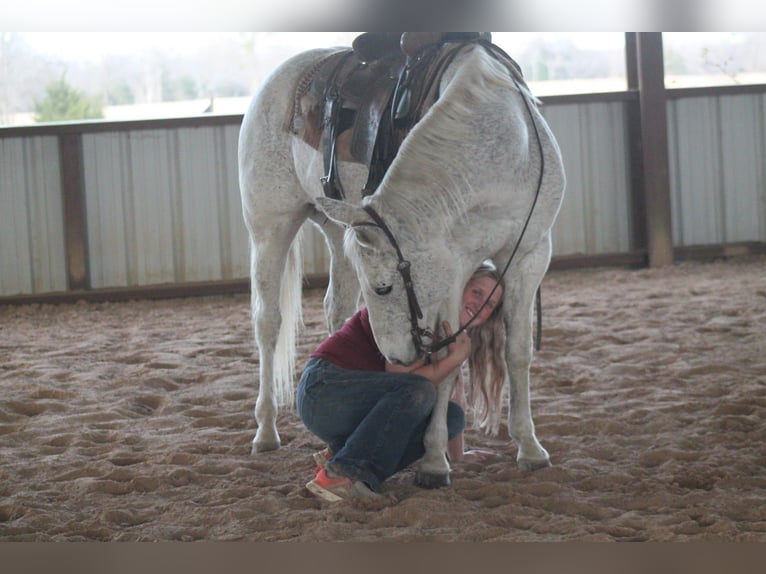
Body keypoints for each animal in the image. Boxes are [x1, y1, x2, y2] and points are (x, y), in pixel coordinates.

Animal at [238, 33, 565, 488]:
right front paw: (434, 461)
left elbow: (517, 353)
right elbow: (445, 365)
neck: (505, 151)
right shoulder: (452, 273)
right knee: (268, 323)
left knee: (335, 308)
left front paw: (530, 448)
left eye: (383, 287)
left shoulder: (530, 255)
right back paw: (265, 430)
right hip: (270, 226)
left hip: (340, 230)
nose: (392, 360)